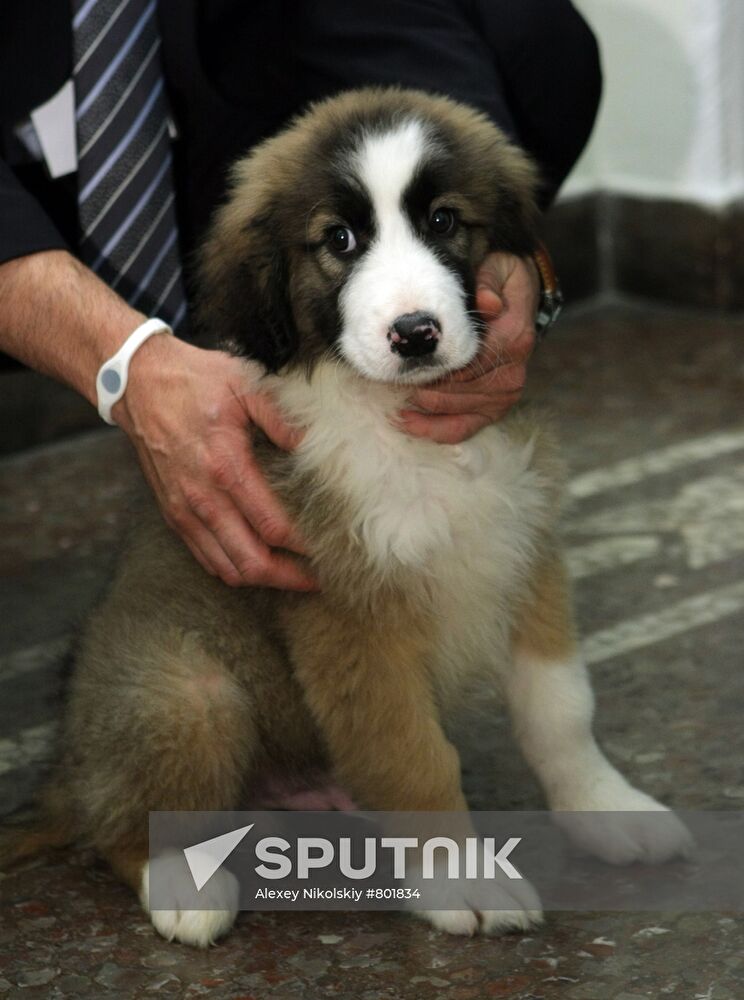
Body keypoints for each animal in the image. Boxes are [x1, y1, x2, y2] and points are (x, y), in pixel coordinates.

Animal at [4, 86, 692, 944]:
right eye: (340, 239)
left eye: (443, 221)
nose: (415, 334)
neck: (402, 429)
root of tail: (67, 772)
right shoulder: (350, 621)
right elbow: (413, 756)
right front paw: (460, 879)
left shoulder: (521, 546)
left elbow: (561, 710)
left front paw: (607, 808)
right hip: (184, 691)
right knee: (126, 822)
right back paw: (183, 889)